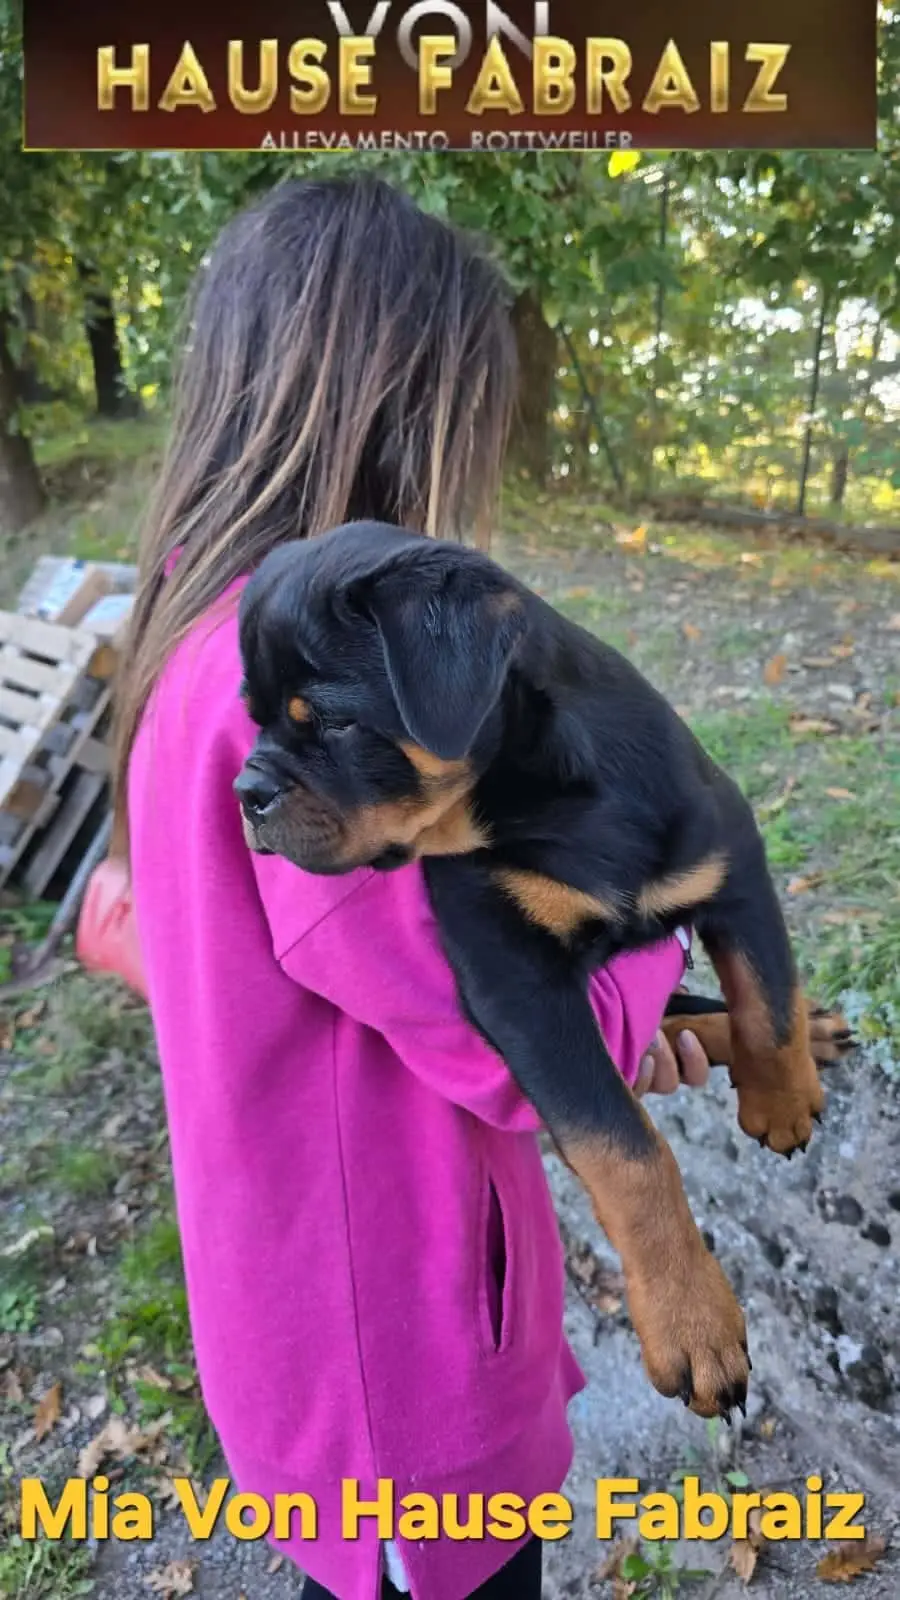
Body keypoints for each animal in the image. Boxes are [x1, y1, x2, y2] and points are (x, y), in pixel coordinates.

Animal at [235, 521, 854, 1421]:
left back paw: (815, 1034)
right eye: (251, 721)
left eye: (338, 724)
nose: (244, 789)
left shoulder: (732, 859)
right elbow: (624, 1148)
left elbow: (766, 998)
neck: (544, 791)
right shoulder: (517, 983)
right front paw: (692, 1321)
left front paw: (783, 1097)